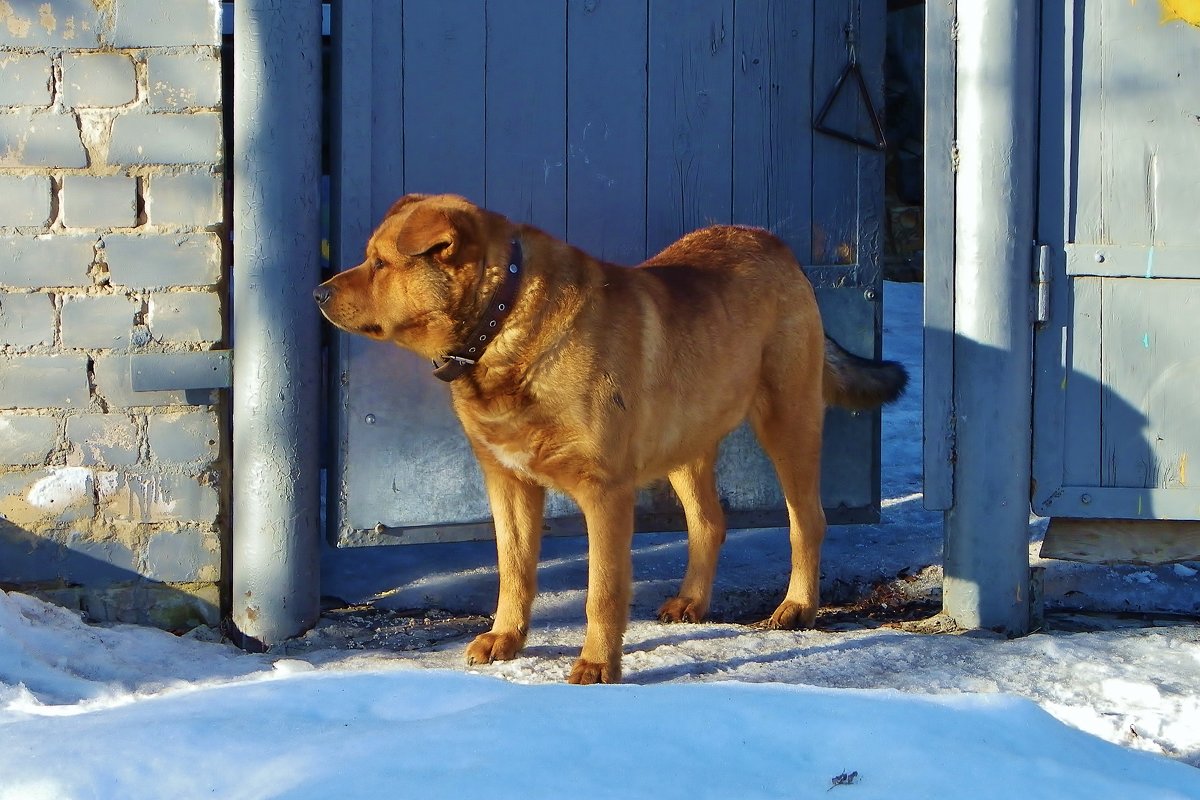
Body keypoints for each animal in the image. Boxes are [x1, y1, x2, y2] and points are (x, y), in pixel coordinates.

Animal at [314, 191, 902, 681]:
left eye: (380, 263)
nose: (317, 291)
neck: (504, 321)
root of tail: (775, 244)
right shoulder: (508, 482)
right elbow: (514, 569)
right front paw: (507, 638)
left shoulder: (605, 493)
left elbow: (603, 590)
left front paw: (598, 665)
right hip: (684, 441)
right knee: (709, 523)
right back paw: (691, 602)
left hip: (788, 423)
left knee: (807, 522)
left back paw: (797, 606)